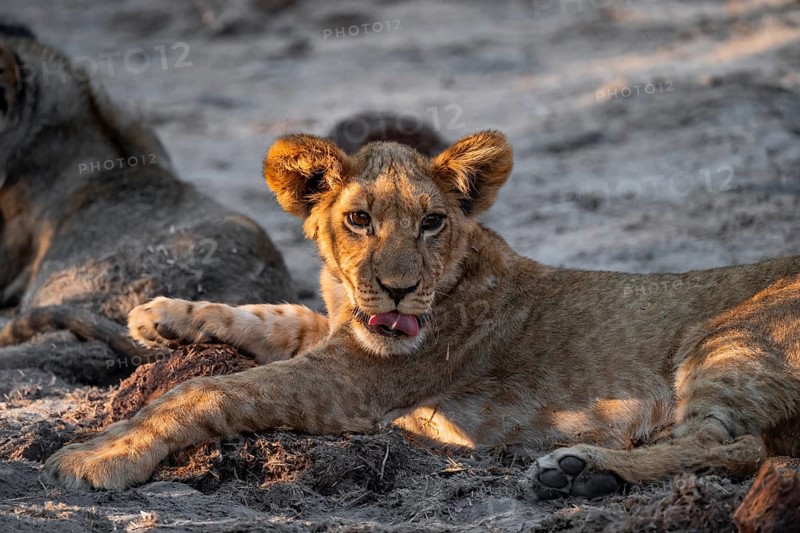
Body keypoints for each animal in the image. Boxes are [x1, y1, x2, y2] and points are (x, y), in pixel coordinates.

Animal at [44, 127, 800, 499]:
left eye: (432, 221)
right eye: (359, 219)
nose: (401, 290)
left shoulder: (354, 380)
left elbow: (205, 390)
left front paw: (99, 454)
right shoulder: (345, 330)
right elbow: (275, 313)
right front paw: (161, 313)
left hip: (730, 338)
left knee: (736, 447)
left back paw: (576, 469)